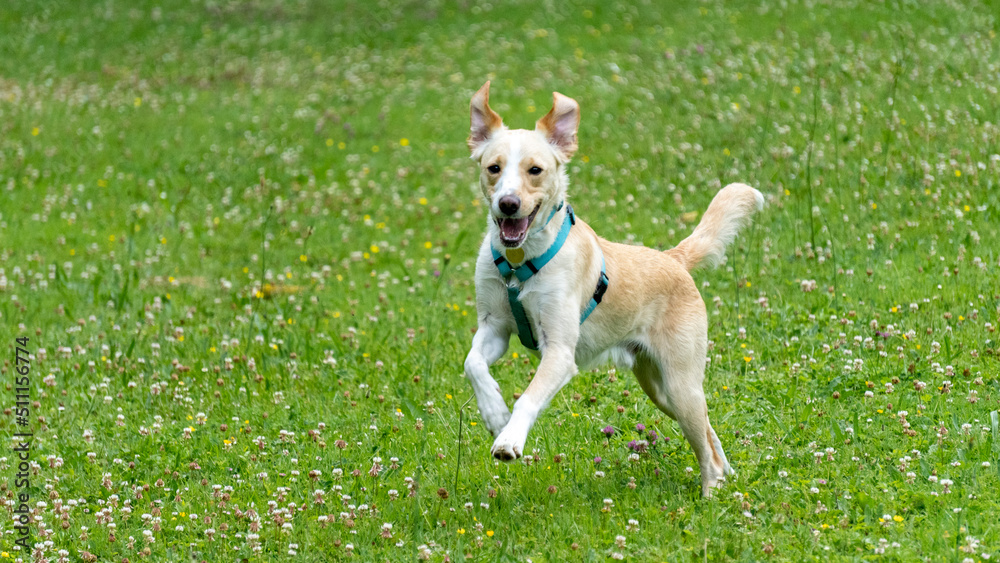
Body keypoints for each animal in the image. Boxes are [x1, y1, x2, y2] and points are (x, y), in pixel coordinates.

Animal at [462, 81, 764, 496]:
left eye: (535, 170)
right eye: (494, 168)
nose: (508, 204)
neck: (520, 262)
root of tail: (673, 258)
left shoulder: (559, 351)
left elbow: (529, 397)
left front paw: (509, 438)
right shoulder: (494, 328)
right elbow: (473, 364)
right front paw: (494, 414)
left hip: (680, 382)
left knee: (704, 444)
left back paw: (710, 492)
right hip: (661, 389)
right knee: (707, 430)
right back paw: (724, 478)